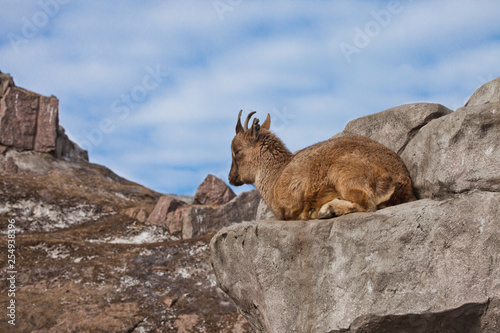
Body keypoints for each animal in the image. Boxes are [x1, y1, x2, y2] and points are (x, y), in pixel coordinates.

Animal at [229, 111, 416, 219]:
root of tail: (396, 180)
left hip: (345, 175)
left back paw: (327, 210)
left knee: (367, 203)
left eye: (237, 151)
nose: (231, 178)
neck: (275, 176)